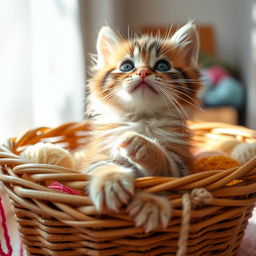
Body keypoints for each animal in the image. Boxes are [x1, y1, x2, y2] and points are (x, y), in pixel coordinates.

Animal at [82, 22, 202, 232]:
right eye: (127, 66)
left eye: (162, 66)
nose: (143, 72)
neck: (142, 119)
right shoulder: (96, 156)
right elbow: (102, 165)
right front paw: (110, 182)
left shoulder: (182, 168)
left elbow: (160, 178)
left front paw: (151, 203)